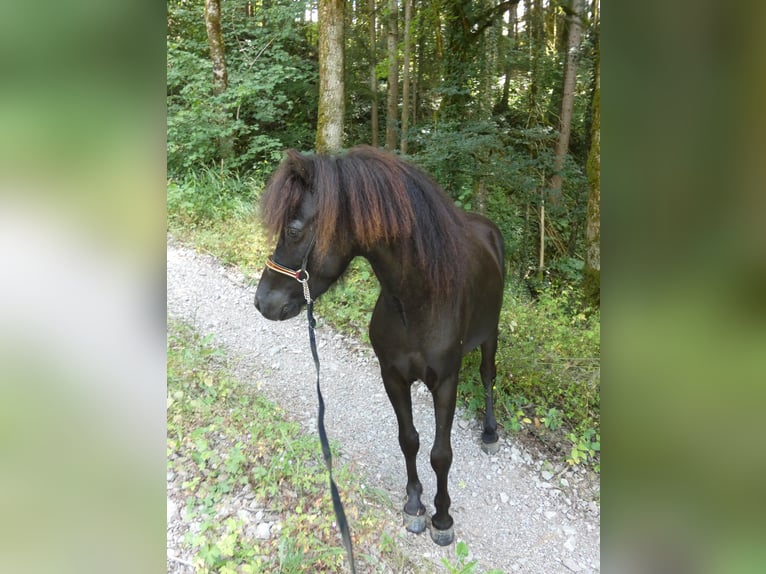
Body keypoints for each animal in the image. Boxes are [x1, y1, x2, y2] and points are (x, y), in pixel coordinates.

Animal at [254, 146, 505, 546]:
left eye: (293, 230)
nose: (263, 302)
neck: (417, 301)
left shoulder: (445, 382)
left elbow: (441, 454)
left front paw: (443, 519)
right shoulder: (393, 376)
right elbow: (409, 440)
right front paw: (414, 506)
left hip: (490, 336)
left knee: (487, 377)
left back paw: (490, 432)